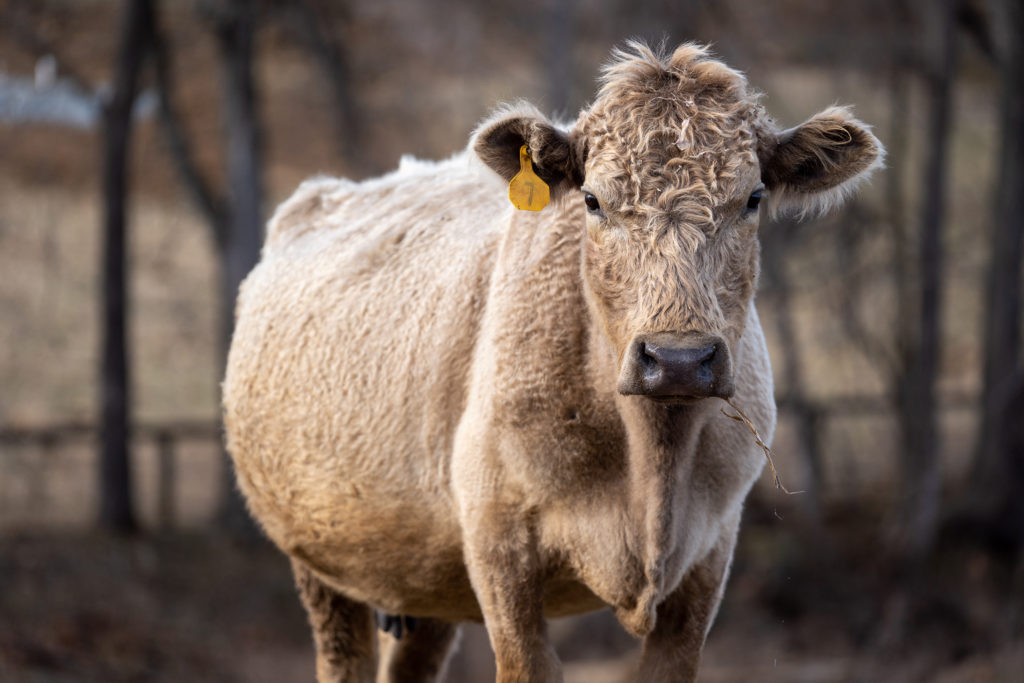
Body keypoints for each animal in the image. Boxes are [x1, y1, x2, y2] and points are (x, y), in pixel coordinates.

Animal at [224, 42, 880, 683]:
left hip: (424, 583)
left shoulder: (709, 556)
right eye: (592, 200)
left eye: (752, 198)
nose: (677, 358)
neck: (652, 464)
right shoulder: (500, 550)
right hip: (319, 561)